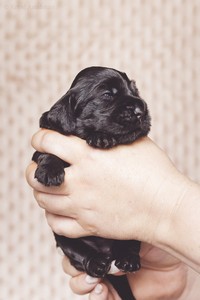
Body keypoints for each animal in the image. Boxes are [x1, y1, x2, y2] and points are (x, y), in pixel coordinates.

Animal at [32, 67, 151, 298]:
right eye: (106, 95)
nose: (141, 109)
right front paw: (49, 171)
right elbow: (48, 153)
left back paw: (127, 260)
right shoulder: (46, 144)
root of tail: (107, 251)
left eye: (135, 90)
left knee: (131, 245)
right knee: (80, 254)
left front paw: (100, 138)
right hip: (64, 237)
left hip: (129, 231)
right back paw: (96, 262)